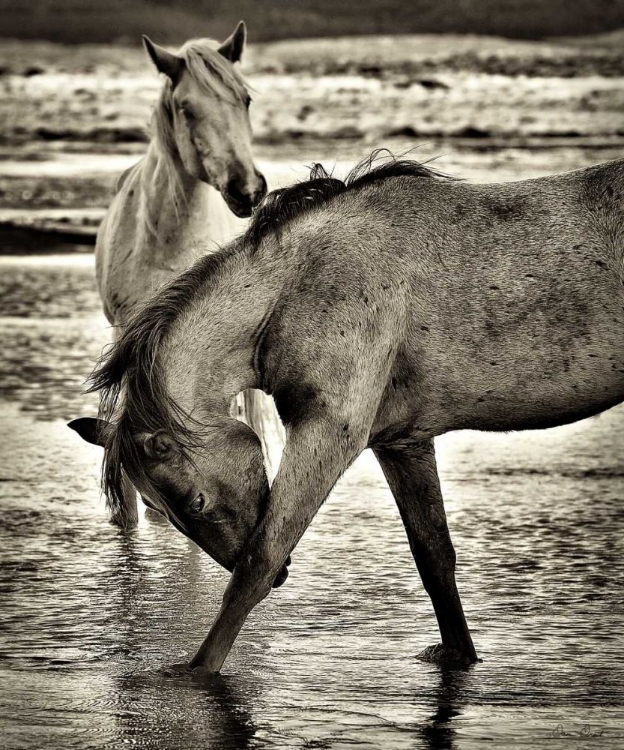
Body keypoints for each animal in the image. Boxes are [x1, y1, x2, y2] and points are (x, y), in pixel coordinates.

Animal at [69, 154, 624, 676]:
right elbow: (434, 558)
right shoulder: (401, 442)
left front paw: (198, 671)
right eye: (156, 508)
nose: (287, 578)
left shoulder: (329, 432)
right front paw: (457, 656)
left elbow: (257, 561)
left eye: (196, 501)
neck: (299, 286)